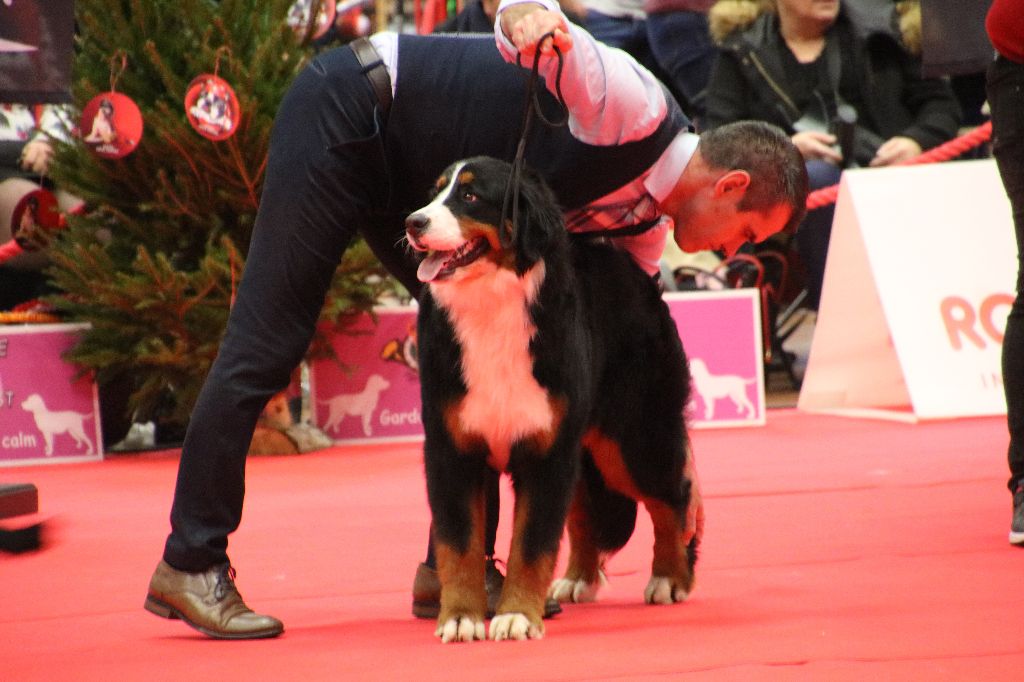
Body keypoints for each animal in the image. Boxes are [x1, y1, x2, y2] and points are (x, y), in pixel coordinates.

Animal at [407, 156, 696, 638]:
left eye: (469, 195)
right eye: (433, 192)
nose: (413, 222)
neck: (491, 308)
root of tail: (634, 271)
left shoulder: (546, 451)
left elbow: (532, 543)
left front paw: (516, 616)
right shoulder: (454, 449)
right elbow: (460, 544)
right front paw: (461, 618)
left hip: (632, 438)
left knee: (672, 496)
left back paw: (670, 579)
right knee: (583, 515)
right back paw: (578, 579)